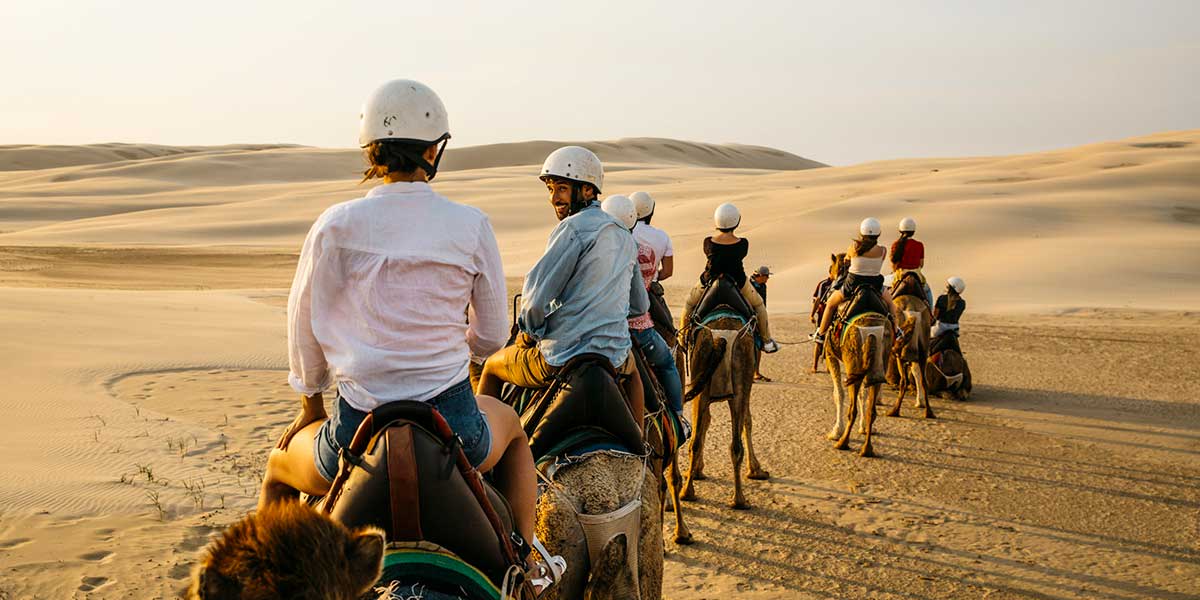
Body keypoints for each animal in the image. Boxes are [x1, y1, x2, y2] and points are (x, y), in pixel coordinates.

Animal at [676, 314, 768, 511]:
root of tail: (721, 338)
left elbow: (706, 423)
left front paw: (697, 471)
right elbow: (748, 421)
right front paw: (756, 470)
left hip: (705, 379)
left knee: (699, 442)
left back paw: (690, 493)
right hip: (739, 383)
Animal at [820, 307, 897, 456]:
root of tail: (872, 332)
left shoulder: (829, 354)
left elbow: (838, 394)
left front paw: (836, 432)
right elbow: (863, 395)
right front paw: (863, 428)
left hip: (853, 364)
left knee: (852, 408)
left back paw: (842, 443)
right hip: (878, 365)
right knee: (871, 409)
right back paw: (867, 449)